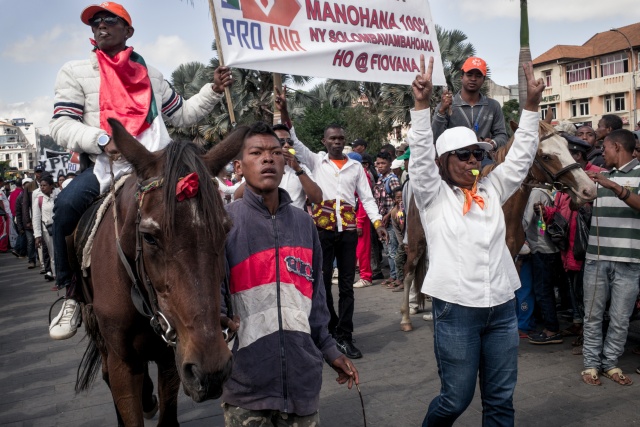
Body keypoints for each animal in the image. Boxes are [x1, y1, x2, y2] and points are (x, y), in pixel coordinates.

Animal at [400, 118, 596, 332]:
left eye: (567, 146)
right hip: (416, 244)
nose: (588, 190)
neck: (506, 209)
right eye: (546, 156)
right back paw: (406, 319)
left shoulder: (514, 259)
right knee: (408, 274)